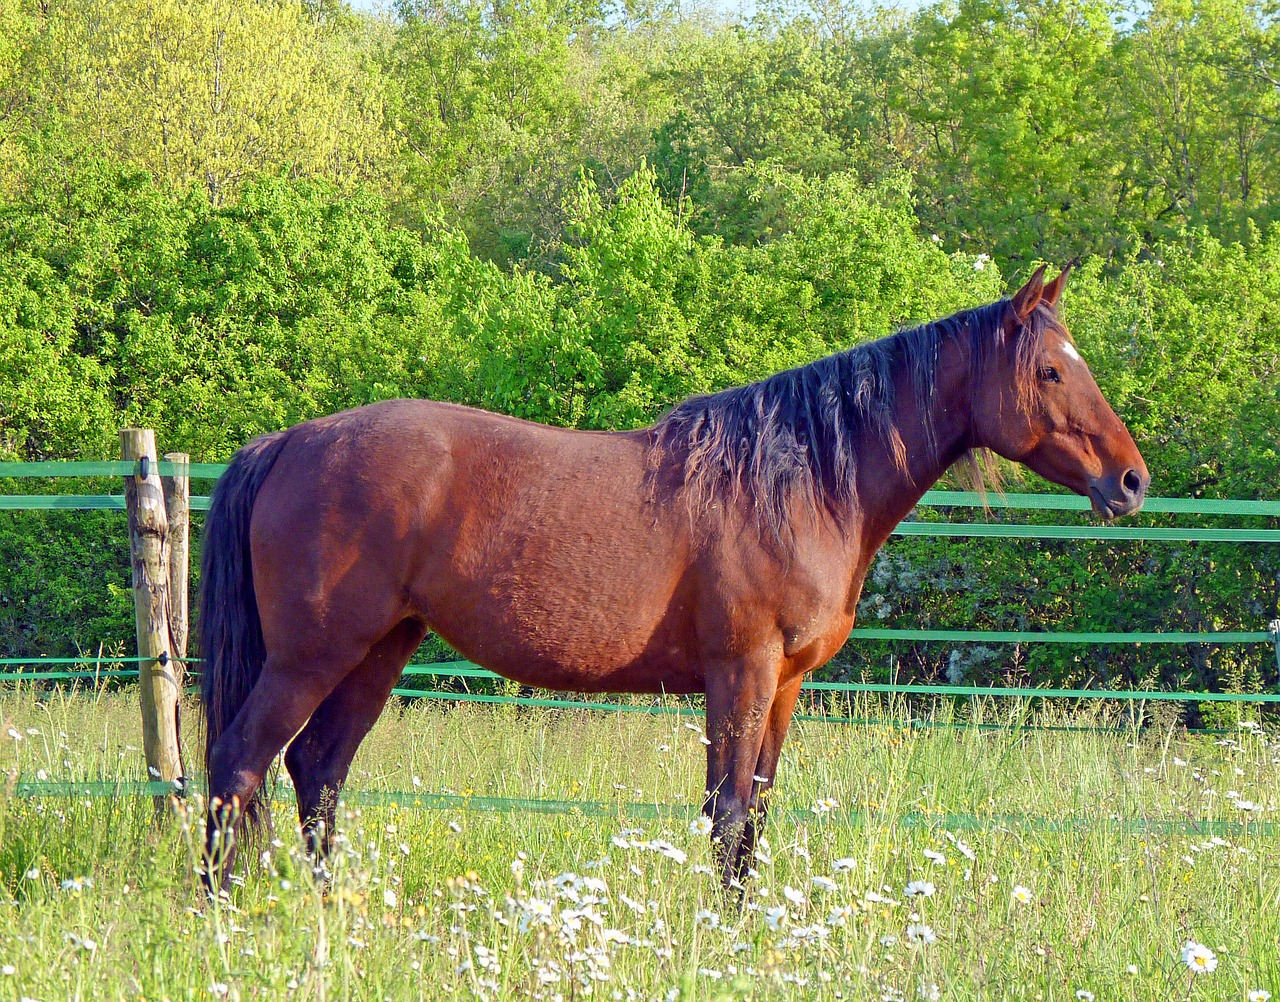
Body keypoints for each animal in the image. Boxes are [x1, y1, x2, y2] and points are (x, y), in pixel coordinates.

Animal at [197, 262, 1152, 890]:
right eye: (1050, 370)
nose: (1133, 481)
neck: (798, 481)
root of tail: (289, 442)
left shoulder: (783, 686)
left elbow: (755, 817)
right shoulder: (739, 674)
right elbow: (725, 816)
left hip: (380, 648)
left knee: (317, 773)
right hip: (314, 653)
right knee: (240, 762)